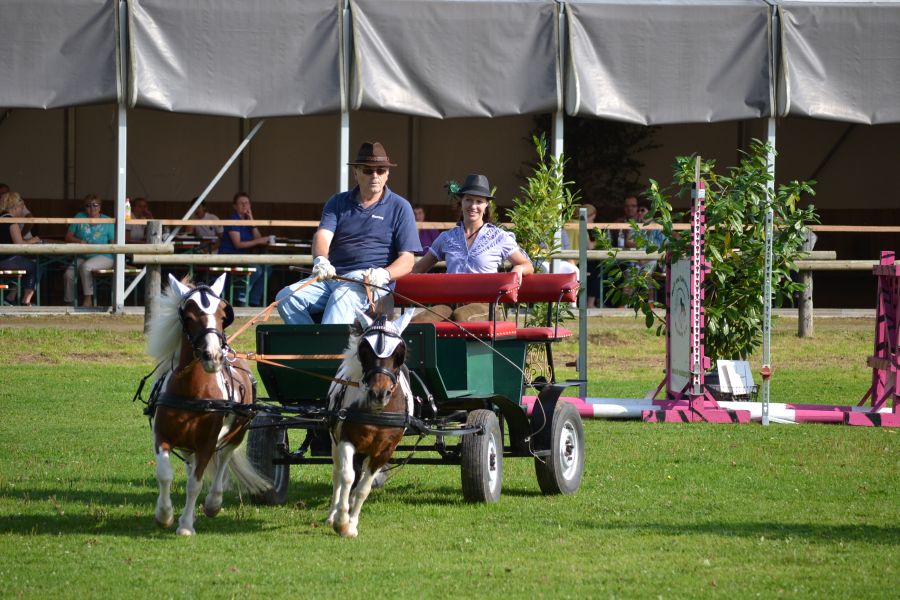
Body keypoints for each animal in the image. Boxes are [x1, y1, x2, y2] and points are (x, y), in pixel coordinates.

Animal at [146, 273, 271, 535]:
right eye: (189, 317)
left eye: (224, 315)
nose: (213, 356)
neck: (192, 392)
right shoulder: (162, 436)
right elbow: (164, 474)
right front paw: (165, 515)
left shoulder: (207, 443)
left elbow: (195, 483)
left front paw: (185, 526)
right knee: (190, 465)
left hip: (237, 433)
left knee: (224, 458)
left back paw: (213, 502)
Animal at [326, 309, 415, 538]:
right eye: (365, 350)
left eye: (399, 353)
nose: (379, 394)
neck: (377, 414)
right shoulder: (345, 440)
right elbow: (347, 477)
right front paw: (341, 522)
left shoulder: (384, 451)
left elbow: (364, 487)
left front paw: (352, 523)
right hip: (335, 442)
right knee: (338, 473)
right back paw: (333, 513)